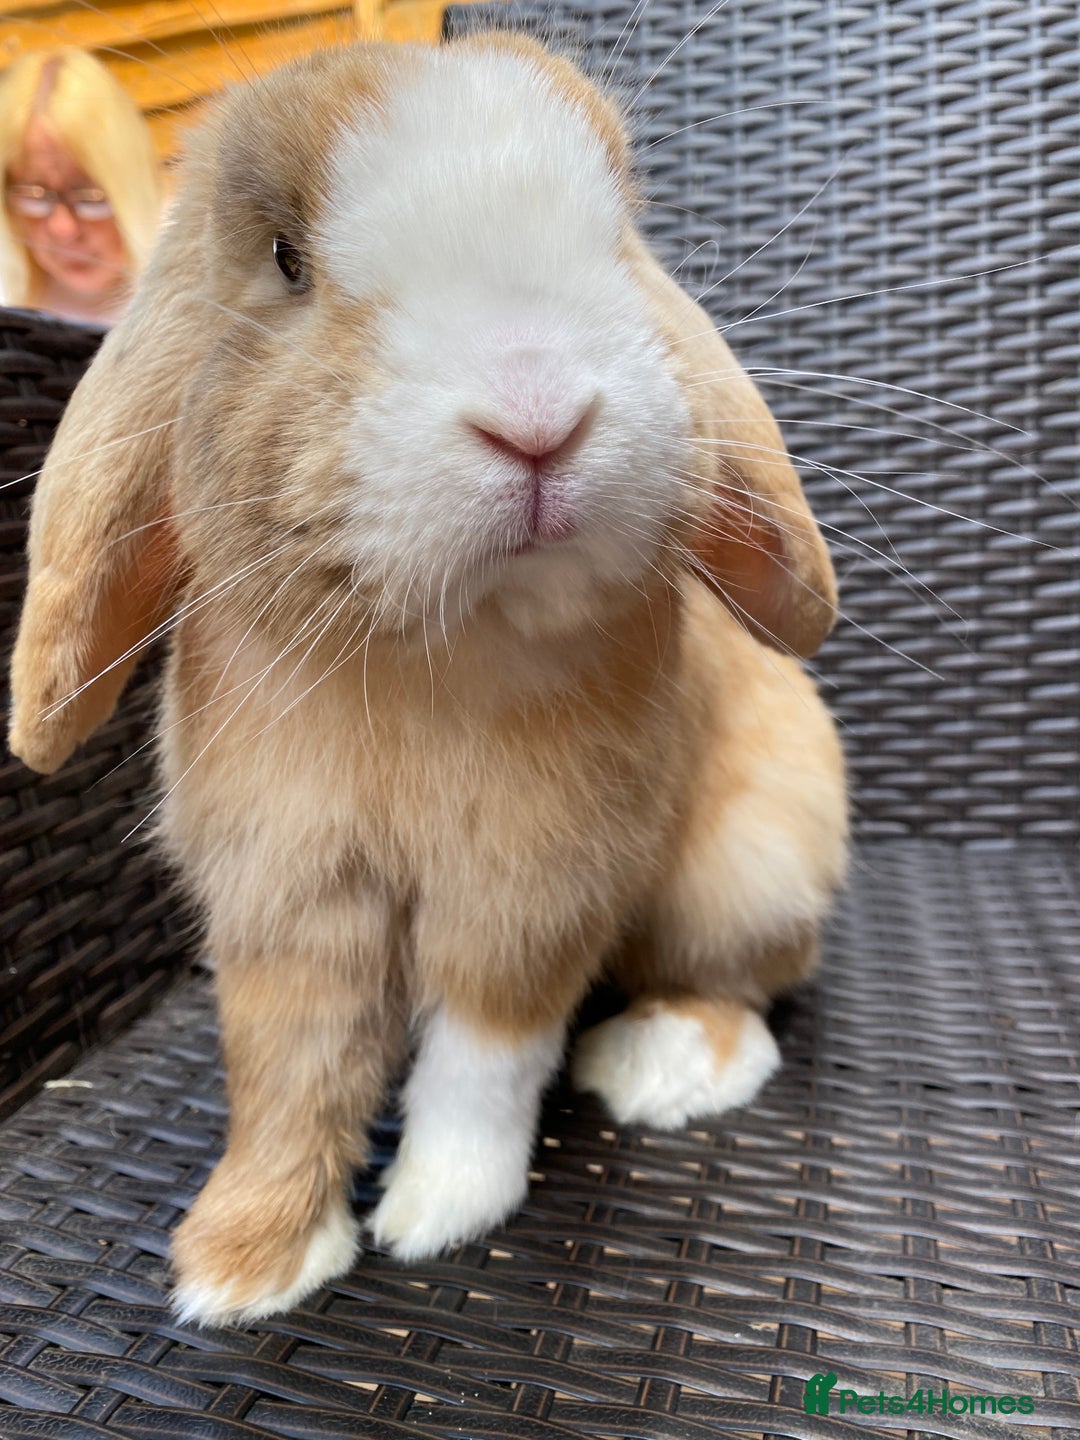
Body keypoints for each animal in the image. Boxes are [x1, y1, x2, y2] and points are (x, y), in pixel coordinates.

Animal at [8, 31, 848, 1326]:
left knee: (741, 987)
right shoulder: (287, 889)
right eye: (286, 260)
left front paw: (441, 1213)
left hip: (744, 870)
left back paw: (659, 1065)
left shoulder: (531, 884)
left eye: (616, 233)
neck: (429, 654)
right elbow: (287, 1063)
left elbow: (487, 1051)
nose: (538, 412)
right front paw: (243, 1265)